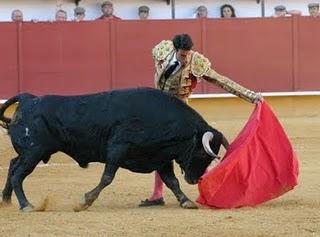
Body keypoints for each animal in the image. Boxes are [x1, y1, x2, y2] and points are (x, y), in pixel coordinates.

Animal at [1, 87, 229, 211]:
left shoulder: (161, 158)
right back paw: (26, 205)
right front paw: (85, 201)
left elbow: (172, 182)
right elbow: (107, 178)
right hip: (33, 153)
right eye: (201, 152)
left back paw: (6, 200)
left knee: (12, 166)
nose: (195, 179)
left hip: (30, 153)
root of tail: (28, 98)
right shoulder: (117, 150)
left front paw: (186, 201)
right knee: (18, 174)